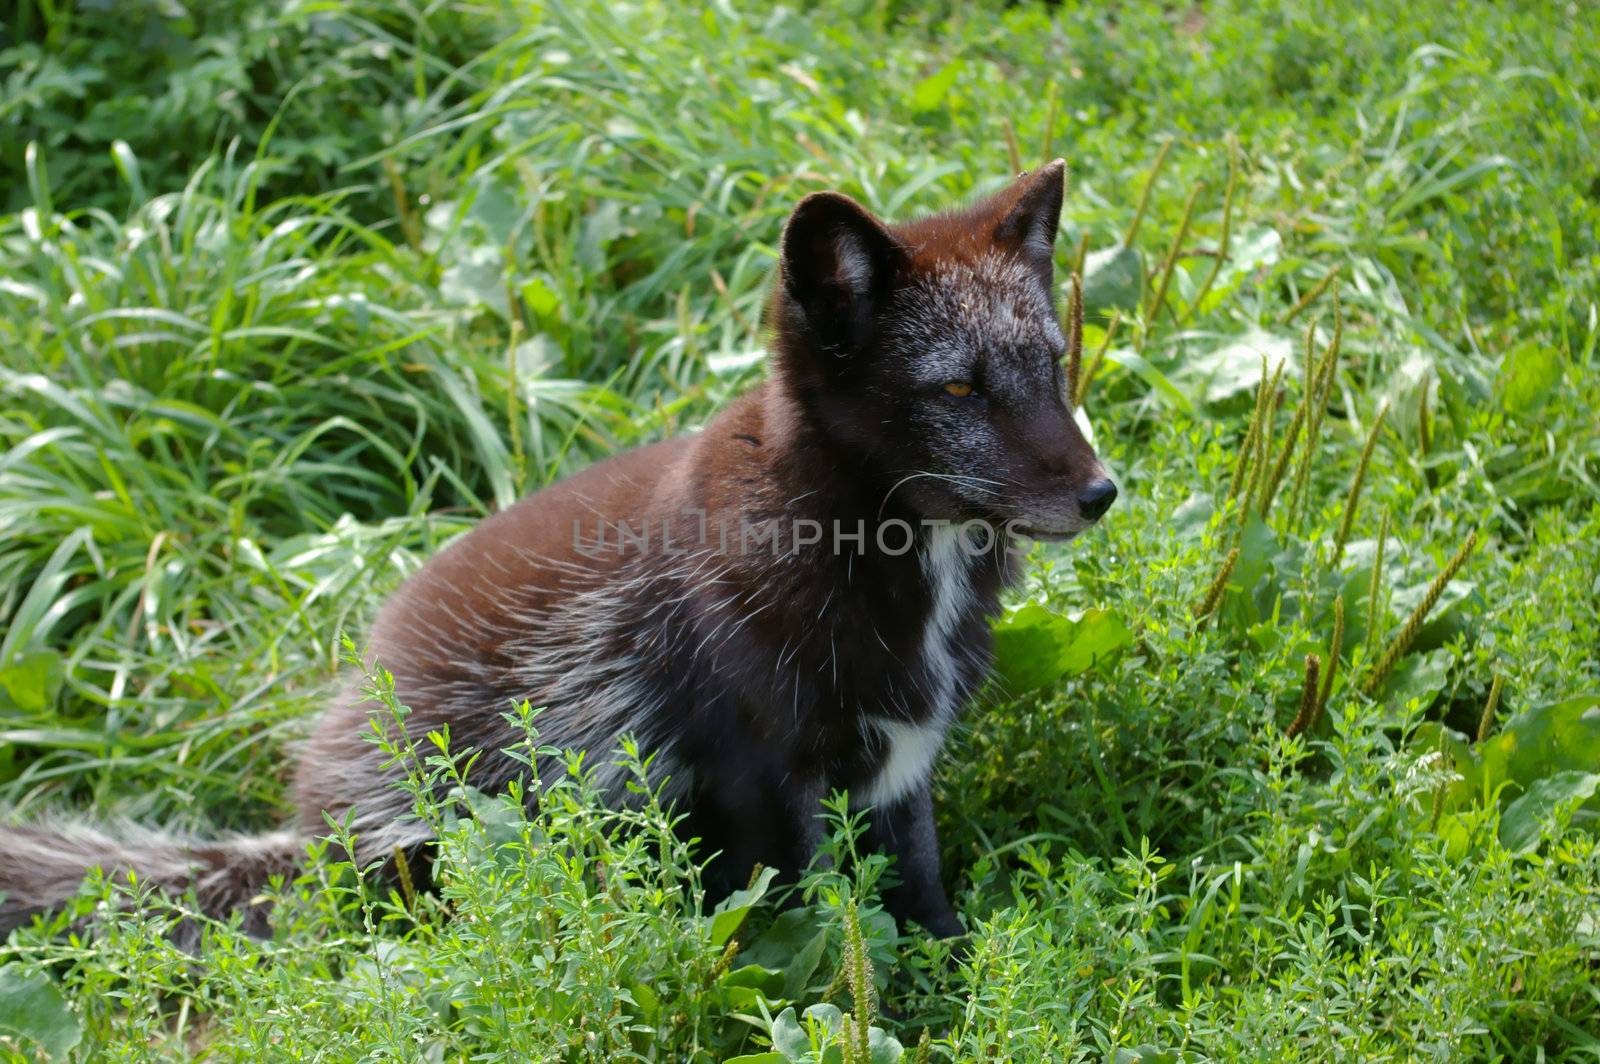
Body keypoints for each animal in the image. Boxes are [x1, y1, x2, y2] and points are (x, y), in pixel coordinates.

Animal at [3, 157, 1113, 940]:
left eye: (1054, 364)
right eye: (957, 387)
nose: (1103, 492)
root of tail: (307, 832)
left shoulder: (902, 768)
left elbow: (925, 902)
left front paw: (957, 984)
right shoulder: (760, 782)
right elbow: (810, 926)